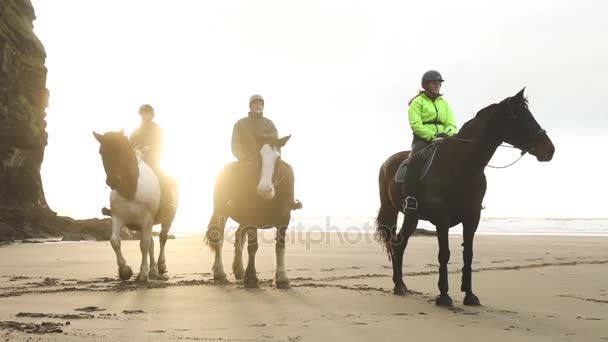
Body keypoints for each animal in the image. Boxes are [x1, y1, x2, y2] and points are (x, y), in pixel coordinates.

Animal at [92, 130, 178, 282]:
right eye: (101, 152)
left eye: (120, 150)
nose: (112, 181)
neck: (131, 191)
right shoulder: (118, 218)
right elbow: (115, 241)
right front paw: (125, 270)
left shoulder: (146, 220)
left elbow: (144, 245)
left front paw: (143, 273)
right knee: (152, 243)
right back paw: (153, 270)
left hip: (167, 219)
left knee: (162, 239)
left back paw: (161, 265)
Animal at [204, 136, 302, 288]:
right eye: (257, 158)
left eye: (278, 158)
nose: (265, 190)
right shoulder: (251, 219)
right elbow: (253, 247)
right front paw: (251, 278)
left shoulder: (284, 219)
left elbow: (280, 247)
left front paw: (282, 278)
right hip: (222, 212)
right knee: (218, 237)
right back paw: (220, 273)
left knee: (239, 237)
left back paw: (239, 270)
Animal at [372, 87, 552, 304]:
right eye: (520, 117)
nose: (549, 149)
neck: (462, 165)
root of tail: (387, 163)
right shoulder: (442, 218)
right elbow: (444, 254)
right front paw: (443, 296)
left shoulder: (472, 217)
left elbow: (468, 254)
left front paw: (470, 294)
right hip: (395, 209)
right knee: (397, 244)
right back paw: (398, 285)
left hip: (412, 216)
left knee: (399, 244)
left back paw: (401, 285)